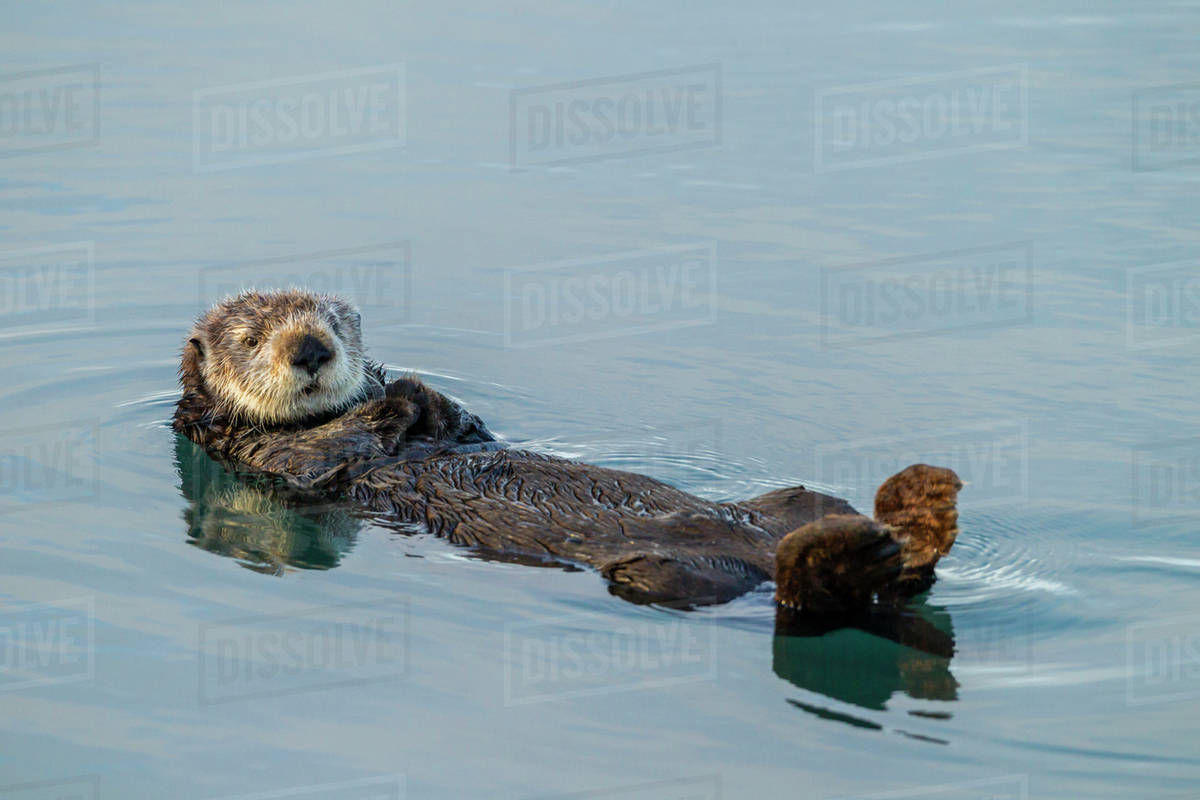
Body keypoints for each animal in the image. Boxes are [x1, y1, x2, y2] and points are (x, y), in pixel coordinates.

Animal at [173, 289, 962, 611]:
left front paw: (409, 387)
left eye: (334, 321)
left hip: (794, 502)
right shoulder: (273, 458)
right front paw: (394, 399)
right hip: (664, 577)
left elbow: (460, 425)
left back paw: (919, 510)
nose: (311, 347)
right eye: (251, 338)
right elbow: (335, 449)